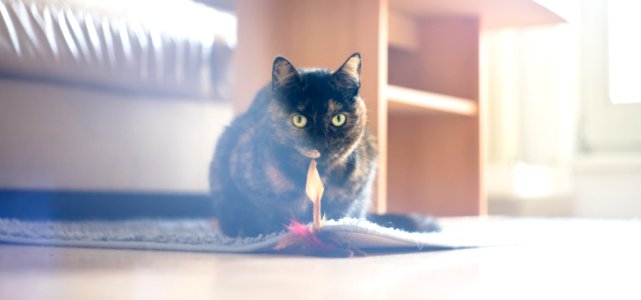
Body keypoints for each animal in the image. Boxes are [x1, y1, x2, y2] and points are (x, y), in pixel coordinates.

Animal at [210, 53, 440, 237]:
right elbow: (265, 211)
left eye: (338, 119)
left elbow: (340, 213)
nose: (319, 143)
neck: (318, 174)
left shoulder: (358, 185)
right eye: (299, 120)